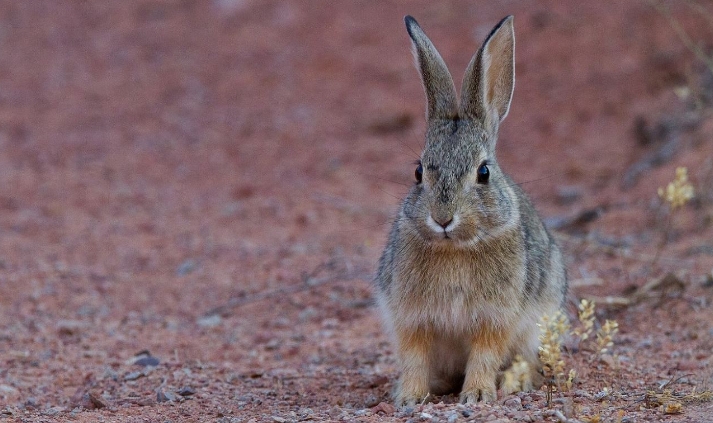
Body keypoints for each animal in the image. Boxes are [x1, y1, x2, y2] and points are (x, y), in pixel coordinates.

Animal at [372, 15, 568, 408]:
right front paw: (410, 397)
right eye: (419, 172)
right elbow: (414, 356)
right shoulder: (411, 318)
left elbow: (484, 354)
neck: (455, 248)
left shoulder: (495, 318)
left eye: (484, 172)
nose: (442, 218)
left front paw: (477, 395)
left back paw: (514, 383)